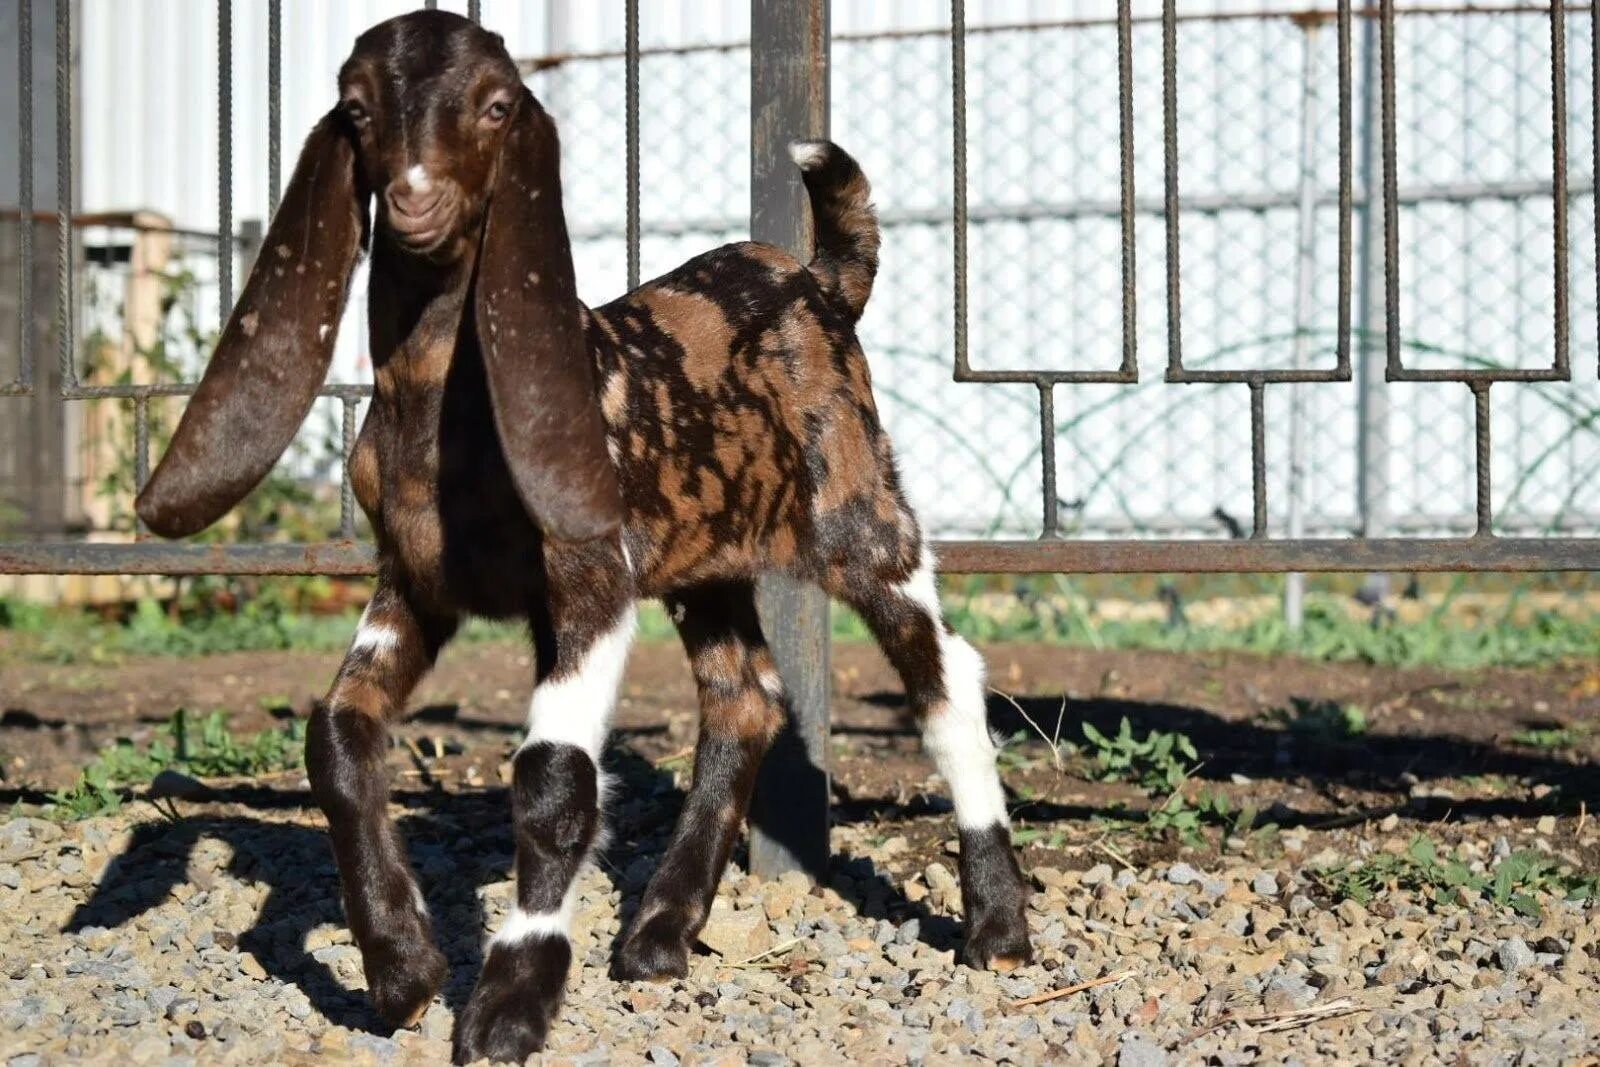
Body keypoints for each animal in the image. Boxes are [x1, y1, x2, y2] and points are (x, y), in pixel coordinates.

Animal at [134, 10, 1036, 1067]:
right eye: (354, 109)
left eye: (496, 105)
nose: (414, 198)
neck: (437, 406)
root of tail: (821, 281)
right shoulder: (414, 585)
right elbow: (336, 731)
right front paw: (401, 966)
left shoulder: (589, 579)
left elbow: (553, 778)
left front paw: (509, 1003)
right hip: (705, 561)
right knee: (744, 700)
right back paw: (658, 935)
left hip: (862, 514)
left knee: (944, 677)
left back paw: (996, 926)